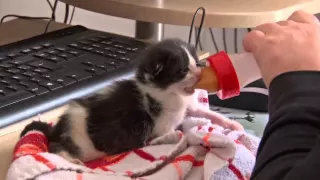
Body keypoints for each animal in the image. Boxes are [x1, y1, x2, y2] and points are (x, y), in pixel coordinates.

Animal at [21, 38, 242, 165]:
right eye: (182, 71)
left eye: (196, 63)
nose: (198, 74)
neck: (171, 93)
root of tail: (56, 128)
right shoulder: (160, 125)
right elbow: (180, 133)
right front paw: (173, 139)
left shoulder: (188, 107)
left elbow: (207, 113)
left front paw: (231, 124)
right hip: (76, 137)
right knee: (54, 146)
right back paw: (71, 159)